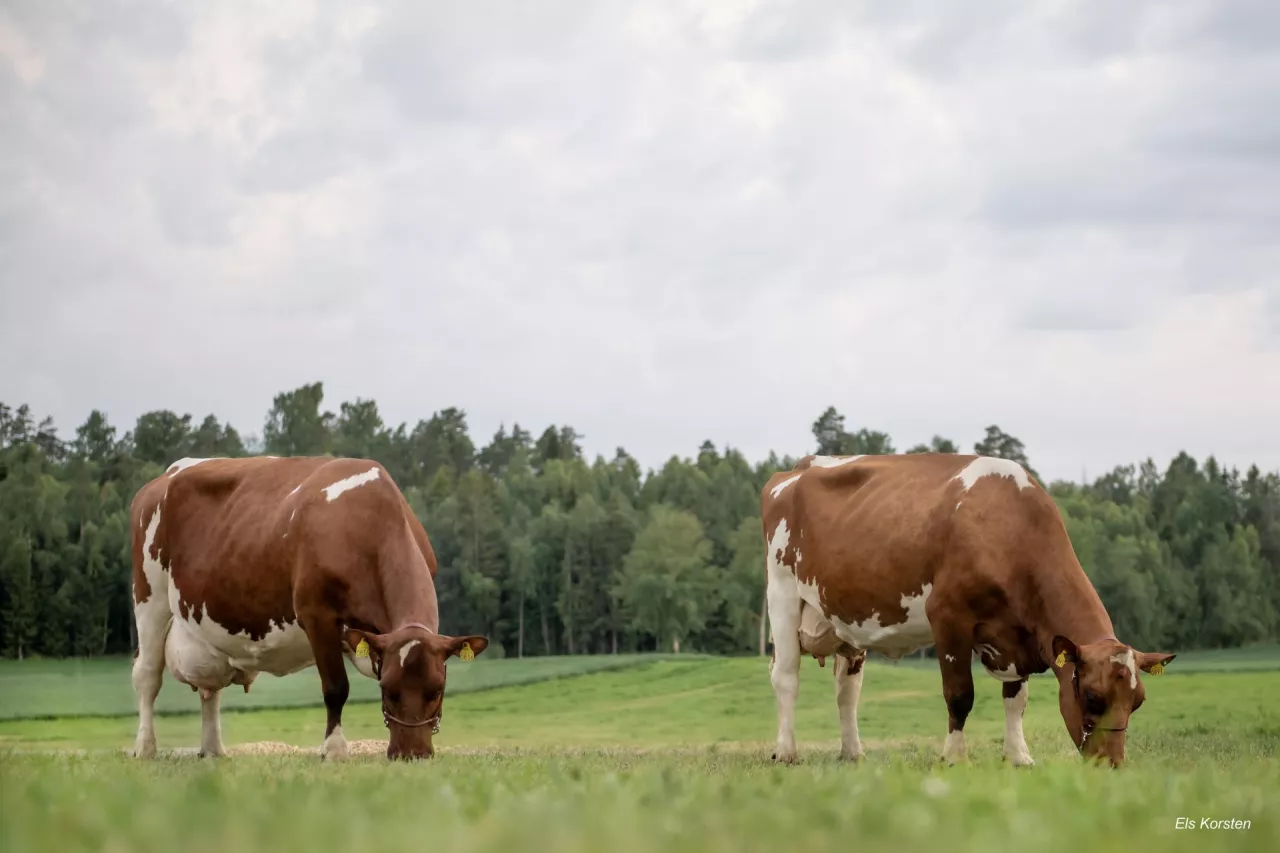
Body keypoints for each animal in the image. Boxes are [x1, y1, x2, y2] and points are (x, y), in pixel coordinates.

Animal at [128, 455, 488, 758]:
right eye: (387, 689)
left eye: (437, 689)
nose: (411, 754)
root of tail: (166, 475)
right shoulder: (317, 615)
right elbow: (336, 688)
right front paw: (335, 750)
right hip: (149, 598)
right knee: (147, 675)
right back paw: (145, 747)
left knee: (209, 688)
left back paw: (214, 750)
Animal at [762, 450, 1172, 768]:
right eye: (1092, 698)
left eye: (1137, 702)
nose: (1112, 764)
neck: (1010, 529)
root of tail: (800, 467)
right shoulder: (948, 617)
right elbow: (960, 695)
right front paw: (954, 757)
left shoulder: (1015, 636)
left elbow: (1016, 699)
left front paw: (1018, 756)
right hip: (781, 592)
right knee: (785, 676)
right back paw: (786, 751)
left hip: (846, 616)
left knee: (847, 687)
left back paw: (852, 752)